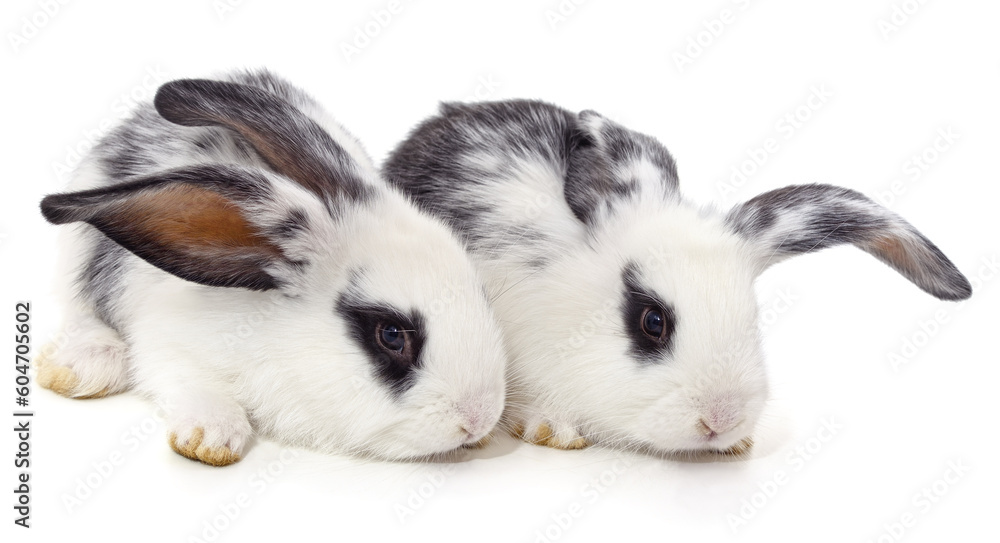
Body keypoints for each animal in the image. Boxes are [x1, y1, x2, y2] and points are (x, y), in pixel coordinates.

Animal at [36, 70, 507, 466]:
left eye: (481, 293)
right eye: (391, 335)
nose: (478, 419)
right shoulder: (167, 344)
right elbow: (186, 381)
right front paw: (211, 436)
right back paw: (84, 365)